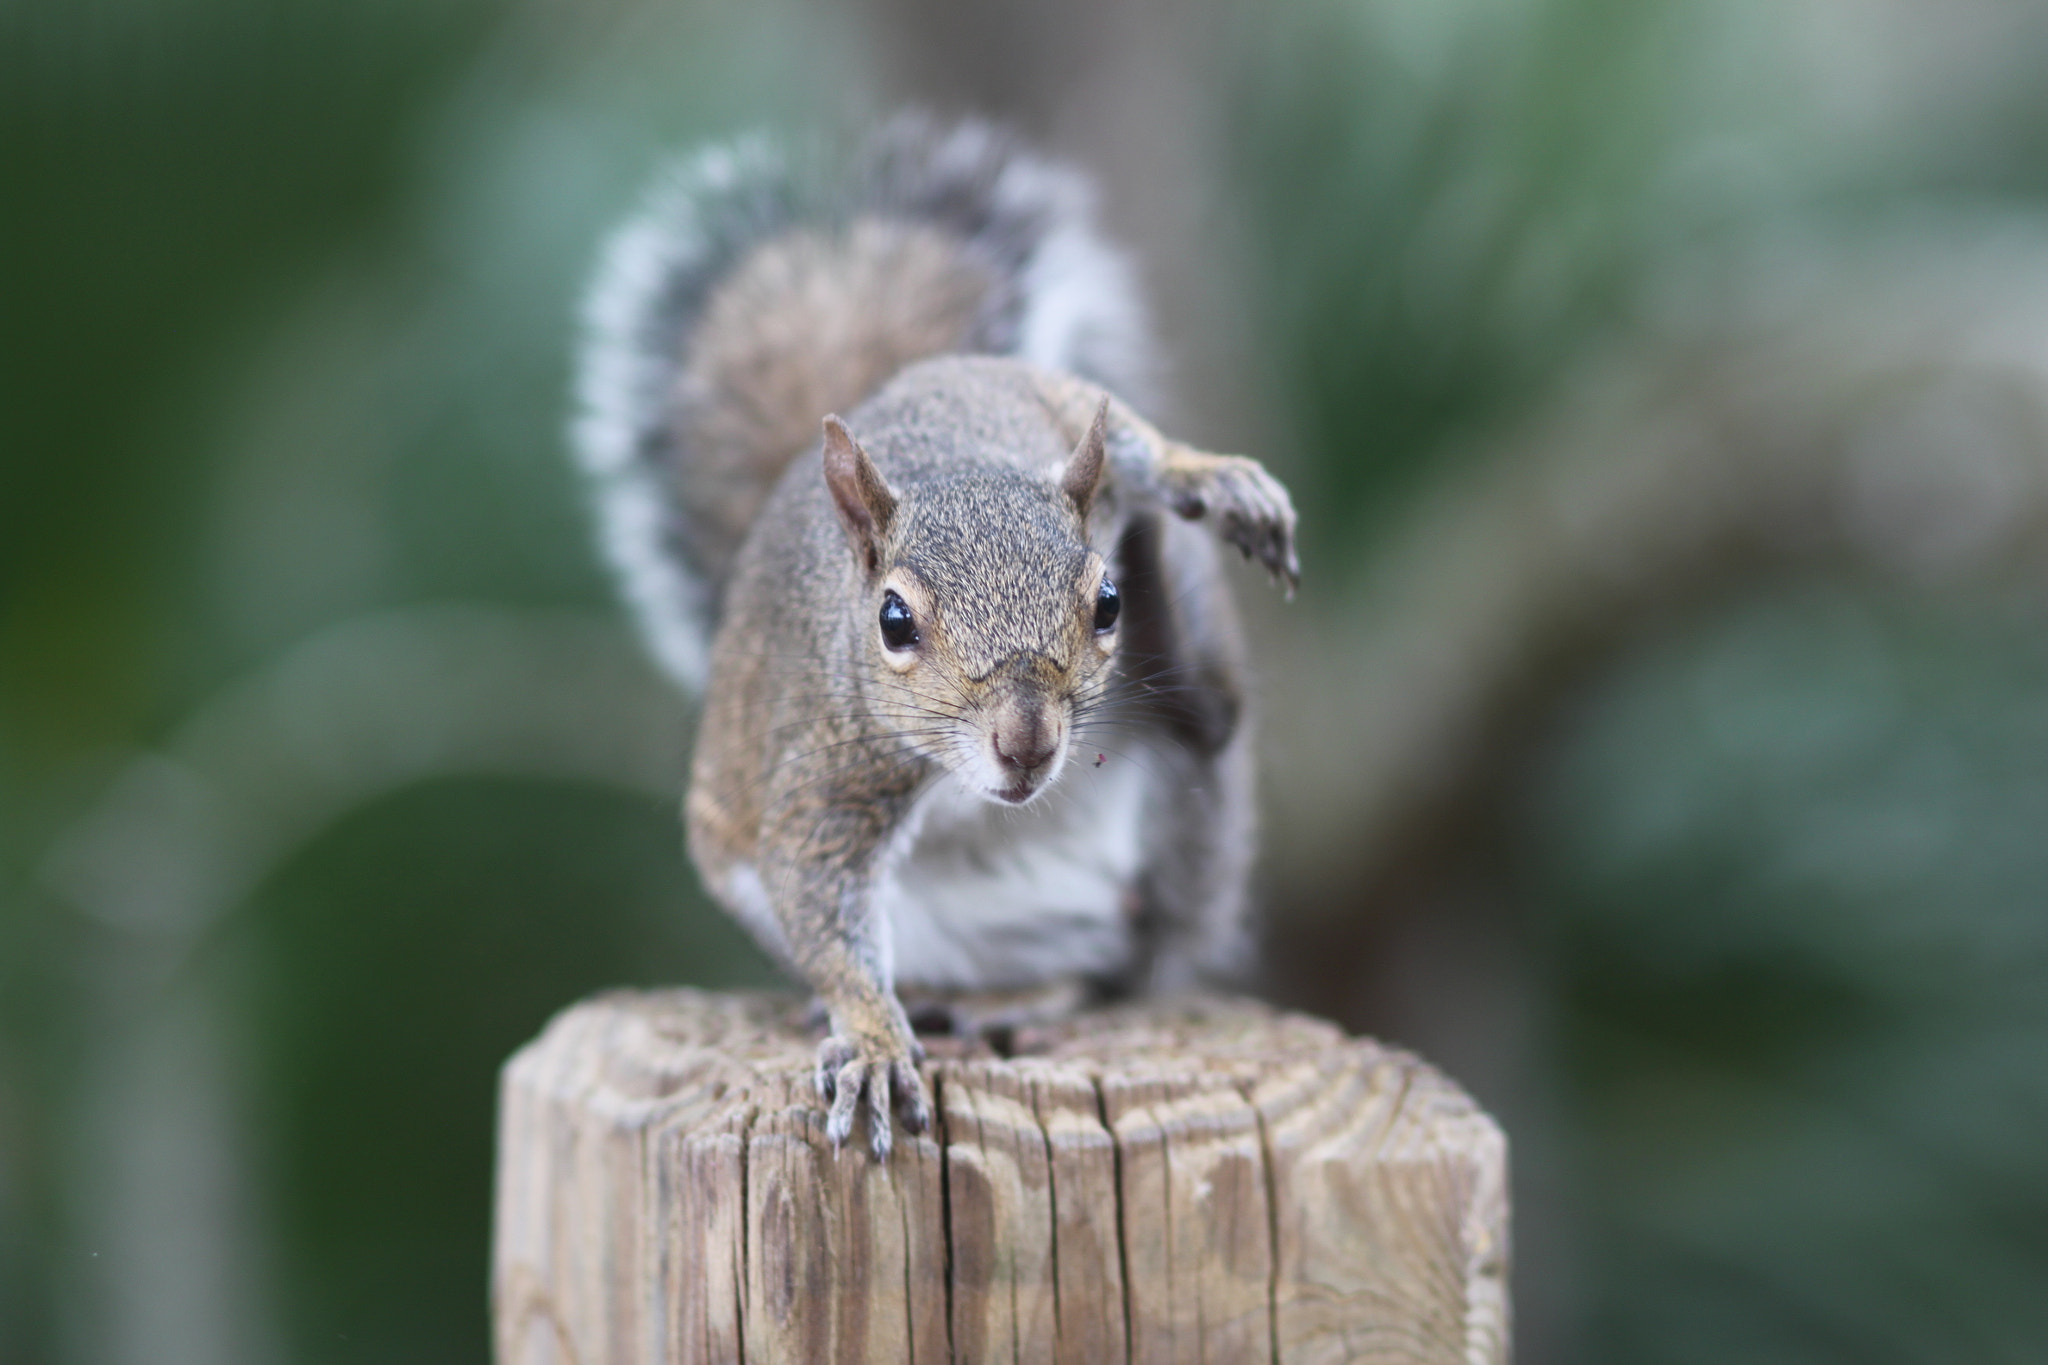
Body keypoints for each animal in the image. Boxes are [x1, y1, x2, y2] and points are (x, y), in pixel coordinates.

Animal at [571, 118, 1299, 1157]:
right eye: (894, 621)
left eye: (1107, 602)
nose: (1026, 743)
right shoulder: (830, 775)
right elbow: (820, 899)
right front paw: (874, 1040)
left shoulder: (1061, 409)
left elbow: (1141, 441)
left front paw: (1215, 479)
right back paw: (923, 1001)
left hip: (1184, 837)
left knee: (1135, 935)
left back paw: (1025, 996)